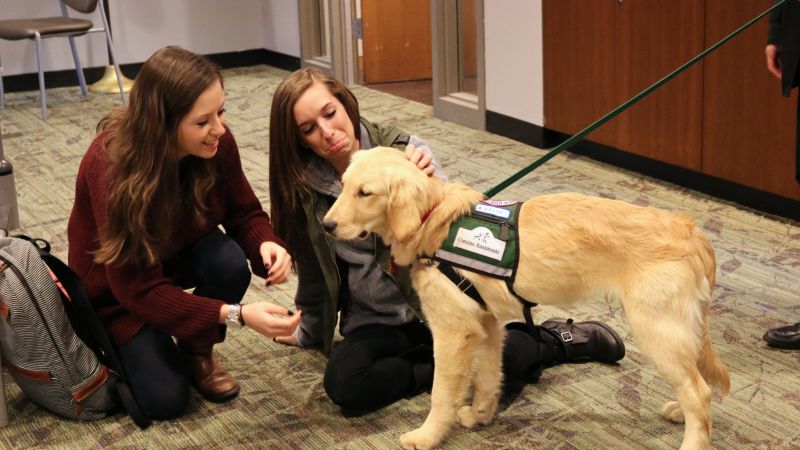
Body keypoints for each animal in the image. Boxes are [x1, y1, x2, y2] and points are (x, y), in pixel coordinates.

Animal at [324, 148, 732, 450]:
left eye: (365, 193)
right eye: (343, 186)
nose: (327, 226)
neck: (433, 220)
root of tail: (690, 231)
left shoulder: (453, 333)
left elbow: (441, 393)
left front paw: (426, 436)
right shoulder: (487, 325)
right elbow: (488, 376)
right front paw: (481, 415)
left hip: (656, 330)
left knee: (699, 392)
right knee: (697, 386)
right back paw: (680, 411)